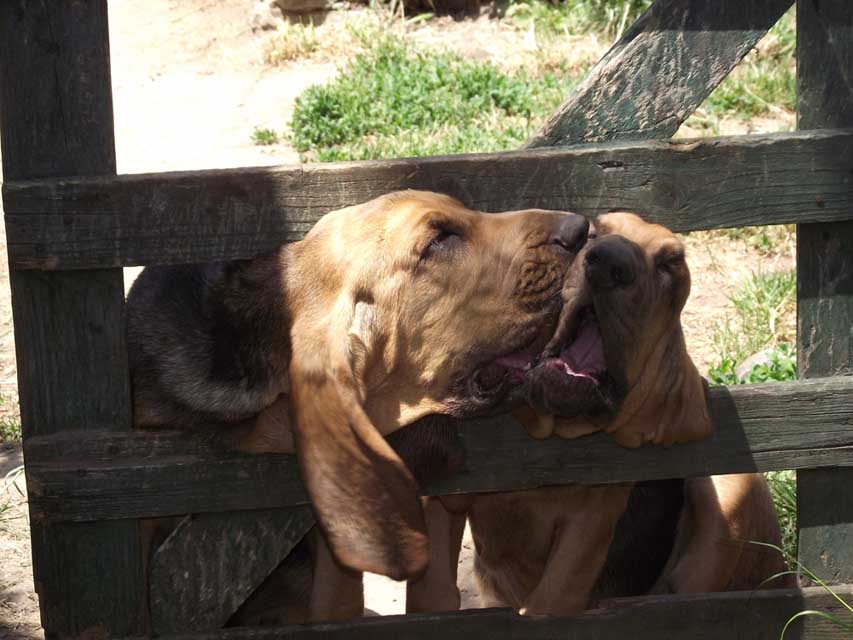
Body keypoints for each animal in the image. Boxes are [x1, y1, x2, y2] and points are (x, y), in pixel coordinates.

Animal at [407, 213, 792, 615]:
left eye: (671, 264)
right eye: (594, 231)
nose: (609, 263)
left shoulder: (587, 526)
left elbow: (549, 599)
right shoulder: (446, 497)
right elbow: (432, 592)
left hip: (732, 484)